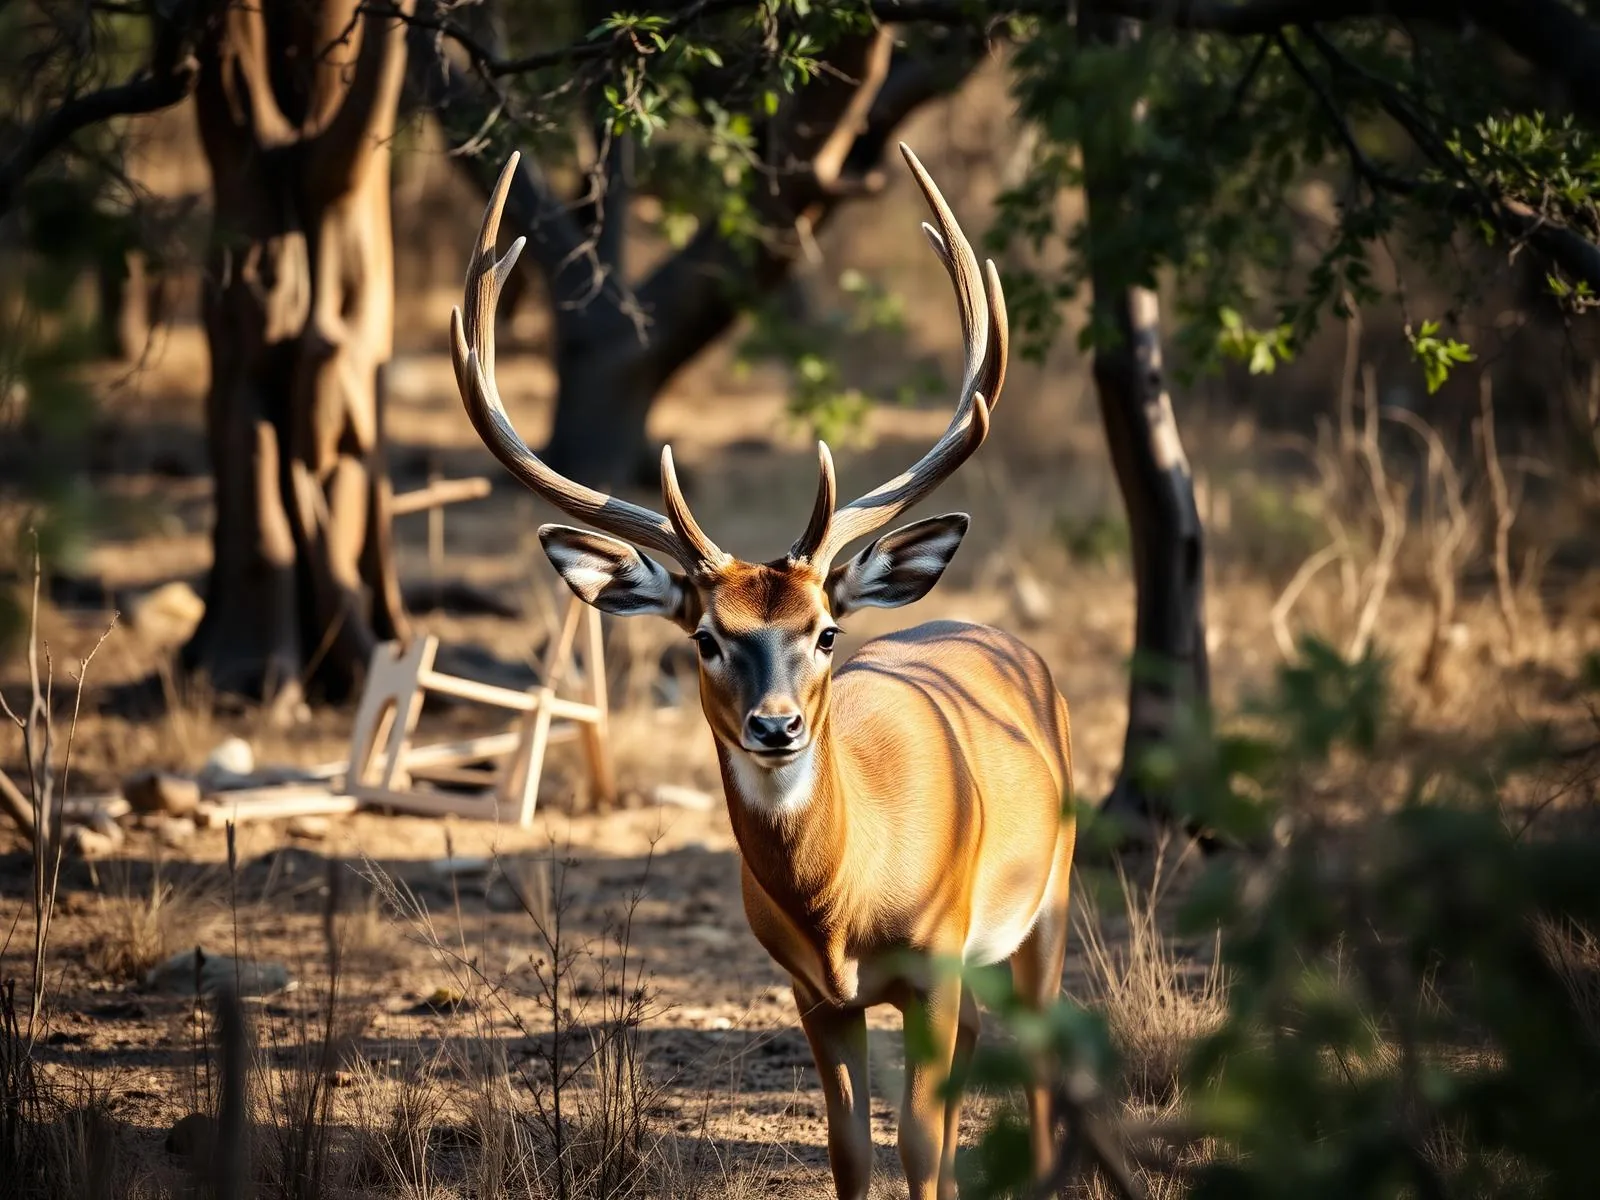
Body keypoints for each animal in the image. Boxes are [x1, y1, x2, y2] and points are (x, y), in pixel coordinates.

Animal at [450, 146, 1075, 1200]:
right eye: (704, 637)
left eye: (825, 632)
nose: (776, 726)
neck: (846, 904)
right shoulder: (810, 988)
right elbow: (852, 1152)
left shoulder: (936, 959)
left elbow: (921, 1149)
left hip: (1050, 893)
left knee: (1038, 1062)